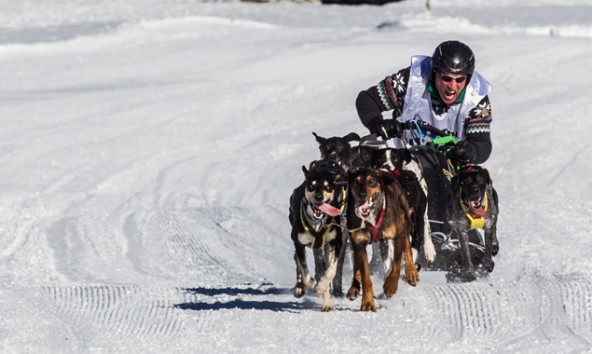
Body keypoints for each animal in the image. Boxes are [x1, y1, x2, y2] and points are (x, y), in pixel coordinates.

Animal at [288, 160, 344, 310]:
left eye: (327, 187)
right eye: (312, 186)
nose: (319, 197)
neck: (317, 222)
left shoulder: (336, 243)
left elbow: (330, 271)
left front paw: (320, 287)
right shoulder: (299, 243)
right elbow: (305, 272)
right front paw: (312, 283)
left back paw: (327, 303)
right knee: (298, 262)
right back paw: (299, 287)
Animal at [344, 168, 418, 310]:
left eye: (371, 181)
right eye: (356, 182)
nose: (362, 195)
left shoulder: (398, 235)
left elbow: (396, 264)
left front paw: (390, 286)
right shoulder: (359, 243)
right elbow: (365, 277)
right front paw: (367, 302)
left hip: (405, 221)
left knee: (408, 246)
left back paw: (411, 272)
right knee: (356, 265)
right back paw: (353, 288)